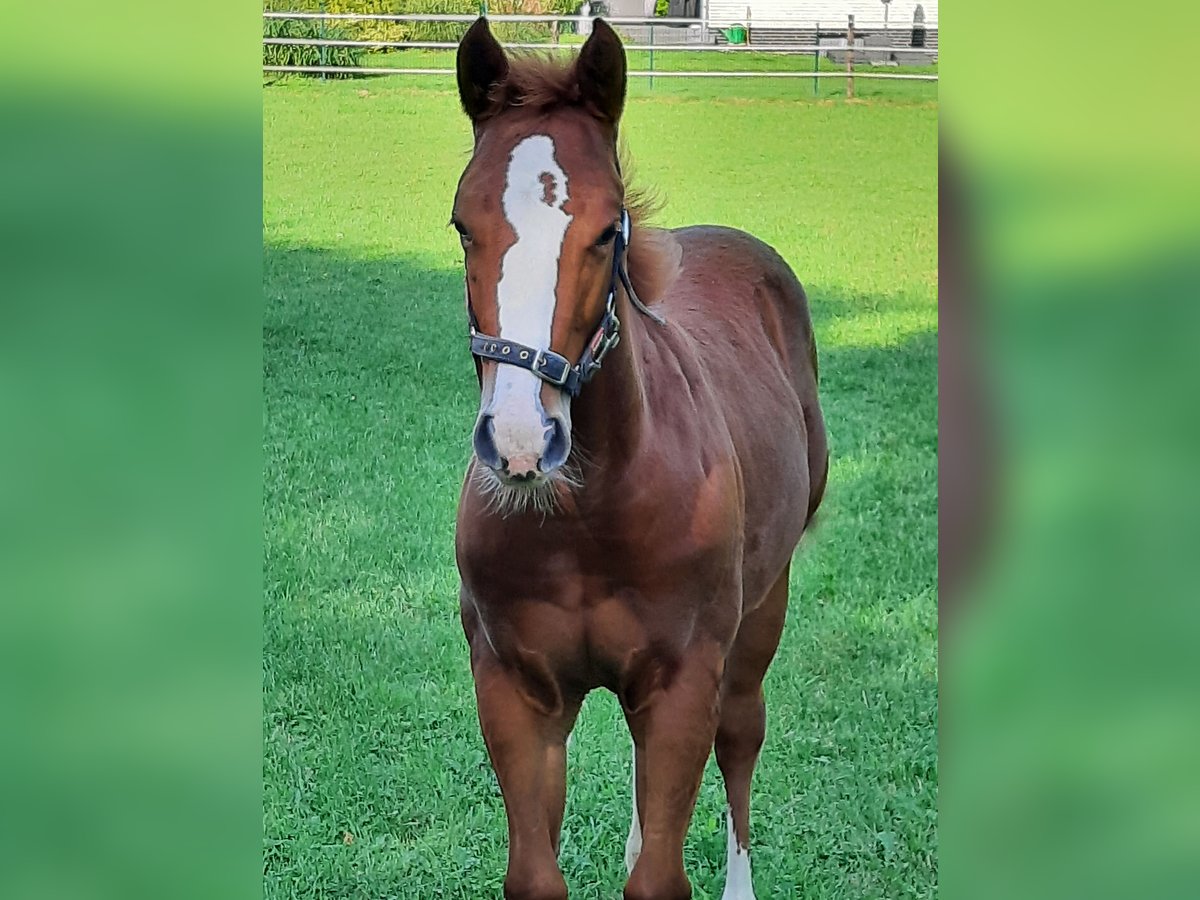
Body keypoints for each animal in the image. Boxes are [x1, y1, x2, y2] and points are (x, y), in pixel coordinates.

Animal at [451, 15, 825, 900]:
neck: (589, 518)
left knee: (741, 737)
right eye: (462, 226)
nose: (521, 442)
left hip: (761, 612)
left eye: (604, 229)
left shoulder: (684, 681)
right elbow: (536, 873)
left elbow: (662, 876)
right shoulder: (514, 687)